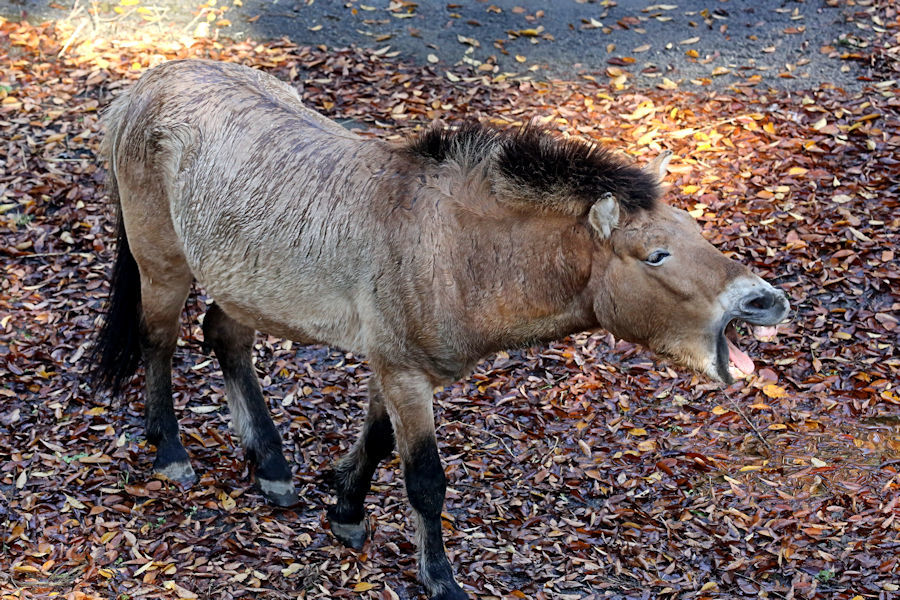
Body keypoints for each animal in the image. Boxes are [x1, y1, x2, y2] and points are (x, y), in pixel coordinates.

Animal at [93, 59, 788, 600]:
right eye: (656, 256)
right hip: (163, 264)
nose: (764, 302)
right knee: (160, 342)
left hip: (246, 286)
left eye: (695, 231)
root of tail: (144, 88)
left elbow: (376, 444)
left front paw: (345, 511)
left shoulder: (392, 367)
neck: (453, 247)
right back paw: (171, 451)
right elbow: (425, 480)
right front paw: (439, 577)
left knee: (225, 338)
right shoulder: (404, 374)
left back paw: (271, 465)